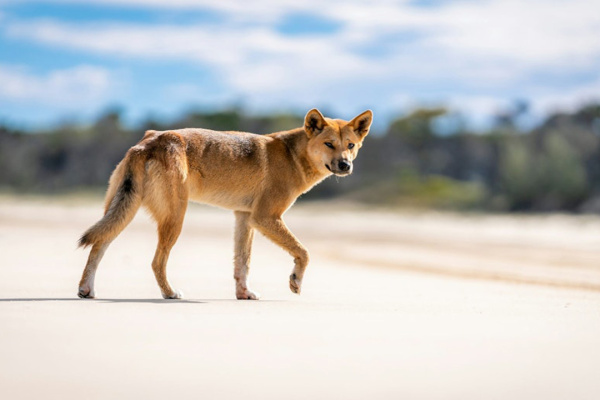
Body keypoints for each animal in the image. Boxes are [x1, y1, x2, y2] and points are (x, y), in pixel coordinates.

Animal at [78, 108, 370, 298]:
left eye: (351, 145)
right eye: (329, 144)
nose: (345, 165)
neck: (292, 157)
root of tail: (150, 141)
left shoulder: (245, 217)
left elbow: (243, 263)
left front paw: (243, 294)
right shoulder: (265, 217)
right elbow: (304, 252)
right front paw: (296, 281)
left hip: (122, 210)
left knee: (97, 246)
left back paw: (86, 290)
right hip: (175, 217)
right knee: (156, 262)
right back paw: (170, 293)